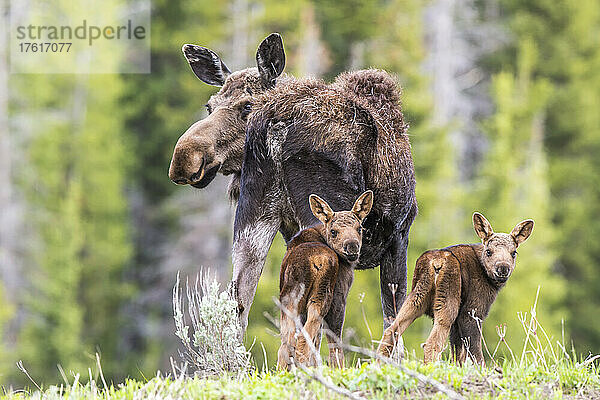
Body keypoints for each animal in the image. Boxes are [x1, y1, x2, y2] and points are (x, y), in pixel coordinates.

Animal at [166, 33, 414, 334]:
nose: (185, 157)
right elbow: (394, 319)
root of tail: (275, 123)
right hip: (324, 214)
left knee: (240, 304)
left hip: (254, 218)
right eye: (209, 106)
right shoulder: (399, 234)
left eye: (247, 105)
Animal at [278, 189, 372, 370]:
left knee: (287, 342)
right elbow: (335, 343)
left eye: (359, 228)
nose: (352, 247)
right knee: (304, 338)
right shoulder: (339, 297)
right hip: (322, 296)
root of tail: (314, 260)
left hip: (289, 298)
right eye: (334, 231)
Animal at [378, 212, 536, 366]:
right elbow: (475, 353)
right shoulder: (472, 311)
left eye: (514, 252)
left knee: (391, 331)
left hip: (416, 297)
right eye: (489, 251)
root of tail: (436, 262)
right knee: (431, 343)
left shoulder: (457, 321)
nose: (503, 268)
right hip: (448, 300)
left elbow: (457, 353)